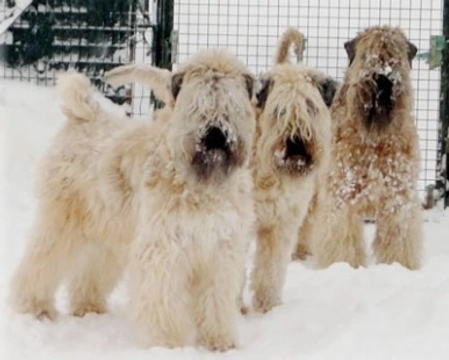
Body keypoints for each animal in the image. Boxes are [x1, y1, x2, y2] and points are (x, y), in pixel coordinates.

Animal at [9, 48, 256, 352]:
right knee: (40, 262)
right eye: (196, 103)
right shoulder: (163, 248)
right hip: (62, 222)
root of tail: (87, 115)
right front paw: (167, 343)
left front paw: (219, 341)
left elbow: (216, 301)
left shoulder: (220, 252)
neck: (201, 187)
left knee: (89, 273)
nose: (216, 134)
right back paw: (35, 306)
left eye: (231, 104)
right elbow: (163, 298)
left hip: (109, 234)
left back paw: (88, 306)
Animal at [248, 28, 336, 312]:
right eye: (279, 109)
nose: (296, 141)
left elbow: (272, 268)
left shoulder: (281, 223)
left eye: (310, 105)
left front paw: (269, 306)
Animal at [310, 26, 422, 270]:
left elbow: (399, 238)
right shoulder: (342, 195)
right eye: (366, 54)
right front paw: (342, 265)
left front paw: (399, 266)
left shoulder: (397, 198)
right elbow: (342, 238)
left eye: (395, 55)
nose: (383, 77)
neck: (375, 140)